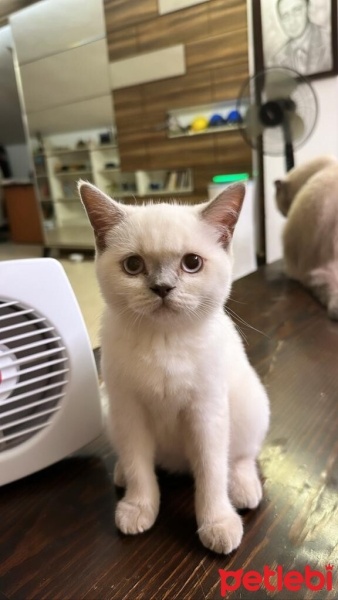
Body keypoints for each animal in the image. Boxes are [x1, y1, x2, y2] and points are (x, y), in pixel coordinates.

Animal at [78, 182, 270, 552]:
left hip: (250, 405)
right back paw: (121, 473)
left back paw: (243, 488)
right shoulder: (129, 411)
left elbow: (211, 473)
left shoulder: (206, 414)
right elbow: (140, 466)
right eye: (133, 265)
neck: (164, 342)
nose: (162, 288)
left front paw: (217, 522)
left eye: (192, 263)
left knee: (240, 456)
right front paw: (139, 507)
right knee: (136, 460)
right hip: (112, 413)